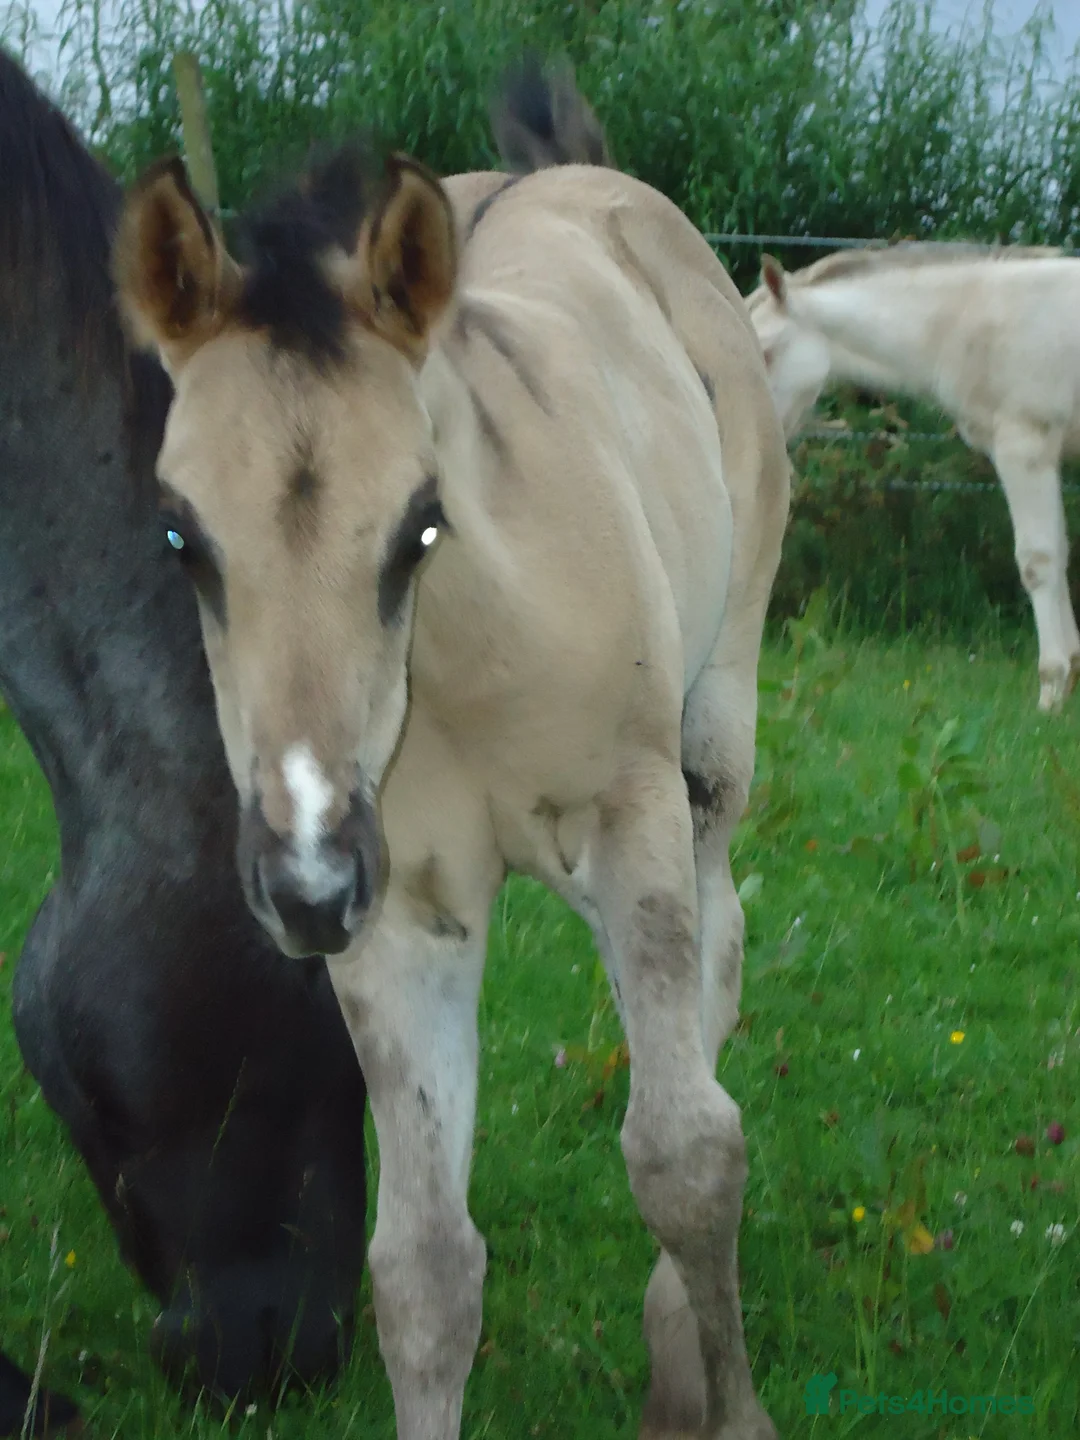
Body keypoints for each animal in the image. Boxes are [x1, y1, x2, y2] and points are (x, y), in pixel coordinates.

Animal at [113, 52, 790, 1440]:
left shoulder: (630, 813)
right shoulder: (397, 907)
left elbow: (684, 1157)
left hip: (711, 739)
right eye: (182, 539)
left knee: (718, 958)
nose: (304, 880)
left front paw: (733, 1408)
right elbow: (422, 1269)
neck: (471, 662)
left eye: (420, 522)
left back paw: (675, 1346)